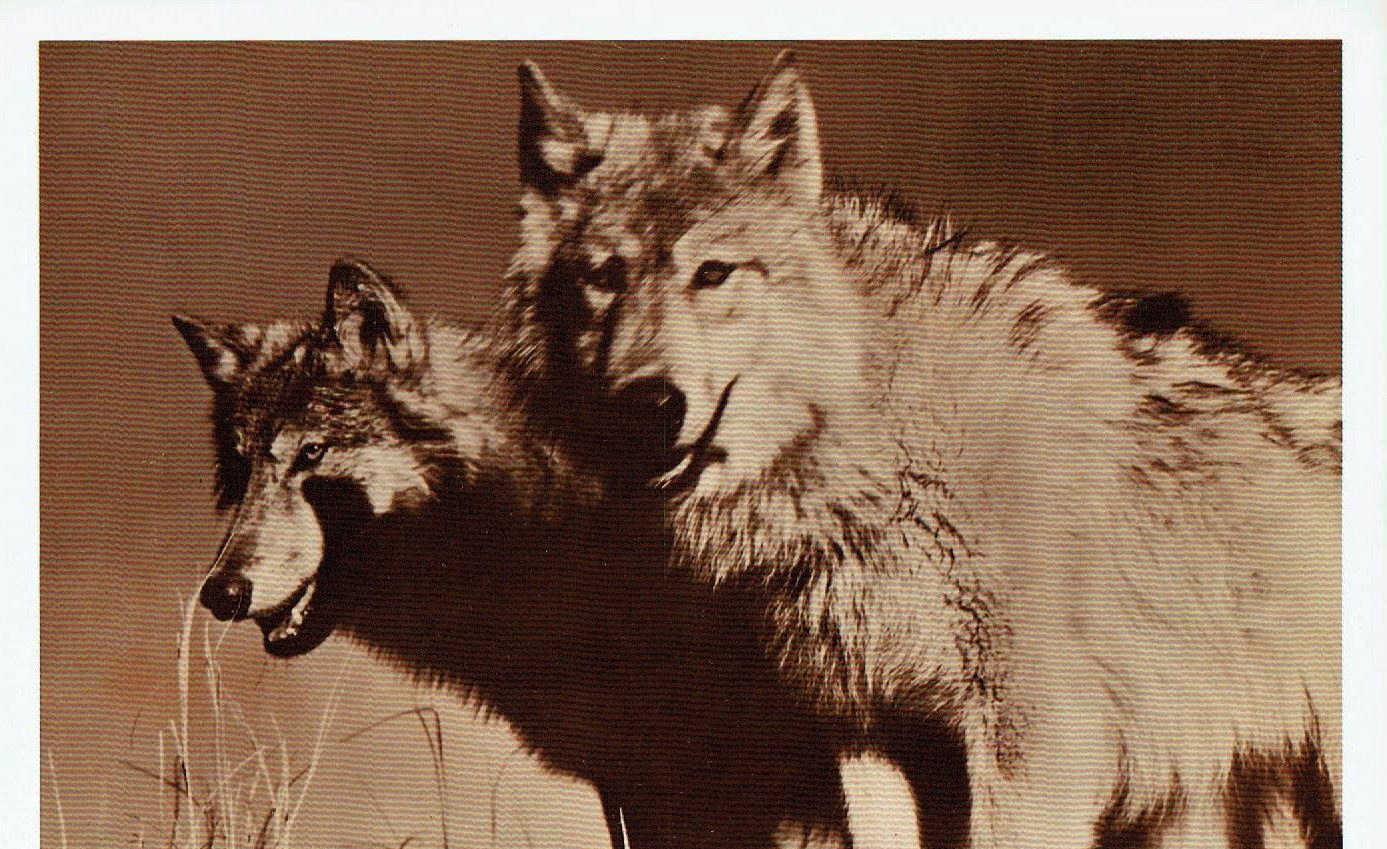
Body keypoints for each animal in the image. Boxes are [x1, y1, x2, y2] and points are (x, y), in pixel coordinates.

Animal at [504, 53, 1342, 849]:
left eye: (713, 272)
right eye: (602, 277)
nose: (648, 405)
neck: (867, 432)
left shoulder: (1029, 735)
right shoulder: (870, 727)